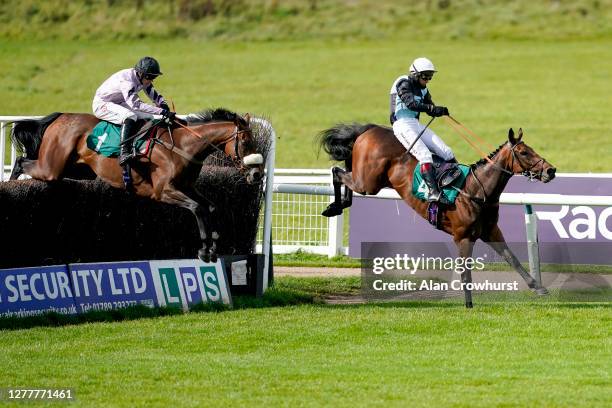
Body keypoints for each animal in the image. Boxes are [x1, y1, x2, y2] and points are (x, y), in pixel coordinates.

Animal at [8, 108, 262, 262]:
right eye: (246, 141)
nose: (257, 174)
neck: (184, 146)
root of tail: (60, 117)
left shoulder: (188, 187)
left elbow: (210, 207)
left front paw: (213, 245)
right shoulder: (163, 191)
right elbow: (198, 208)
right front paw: (204, 251)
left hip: (76, 169)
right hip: (52, 168)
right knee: (21, 162)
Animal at [318, 122, 556, 308]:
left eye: (532, 149)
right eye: (524, 152)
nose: (551, 170)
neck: (476, 190)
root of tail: (370, 129)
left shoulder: (491, 232)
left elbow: (512, 258)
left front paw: (538, 287)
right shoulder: (463, 237)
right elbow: (465, 271)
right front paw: (468, 303)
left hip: (366, 180)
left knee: (342, 173)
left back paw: (339, 204)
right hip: (368, 182)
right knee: (337, 173)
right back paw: (335, 206)